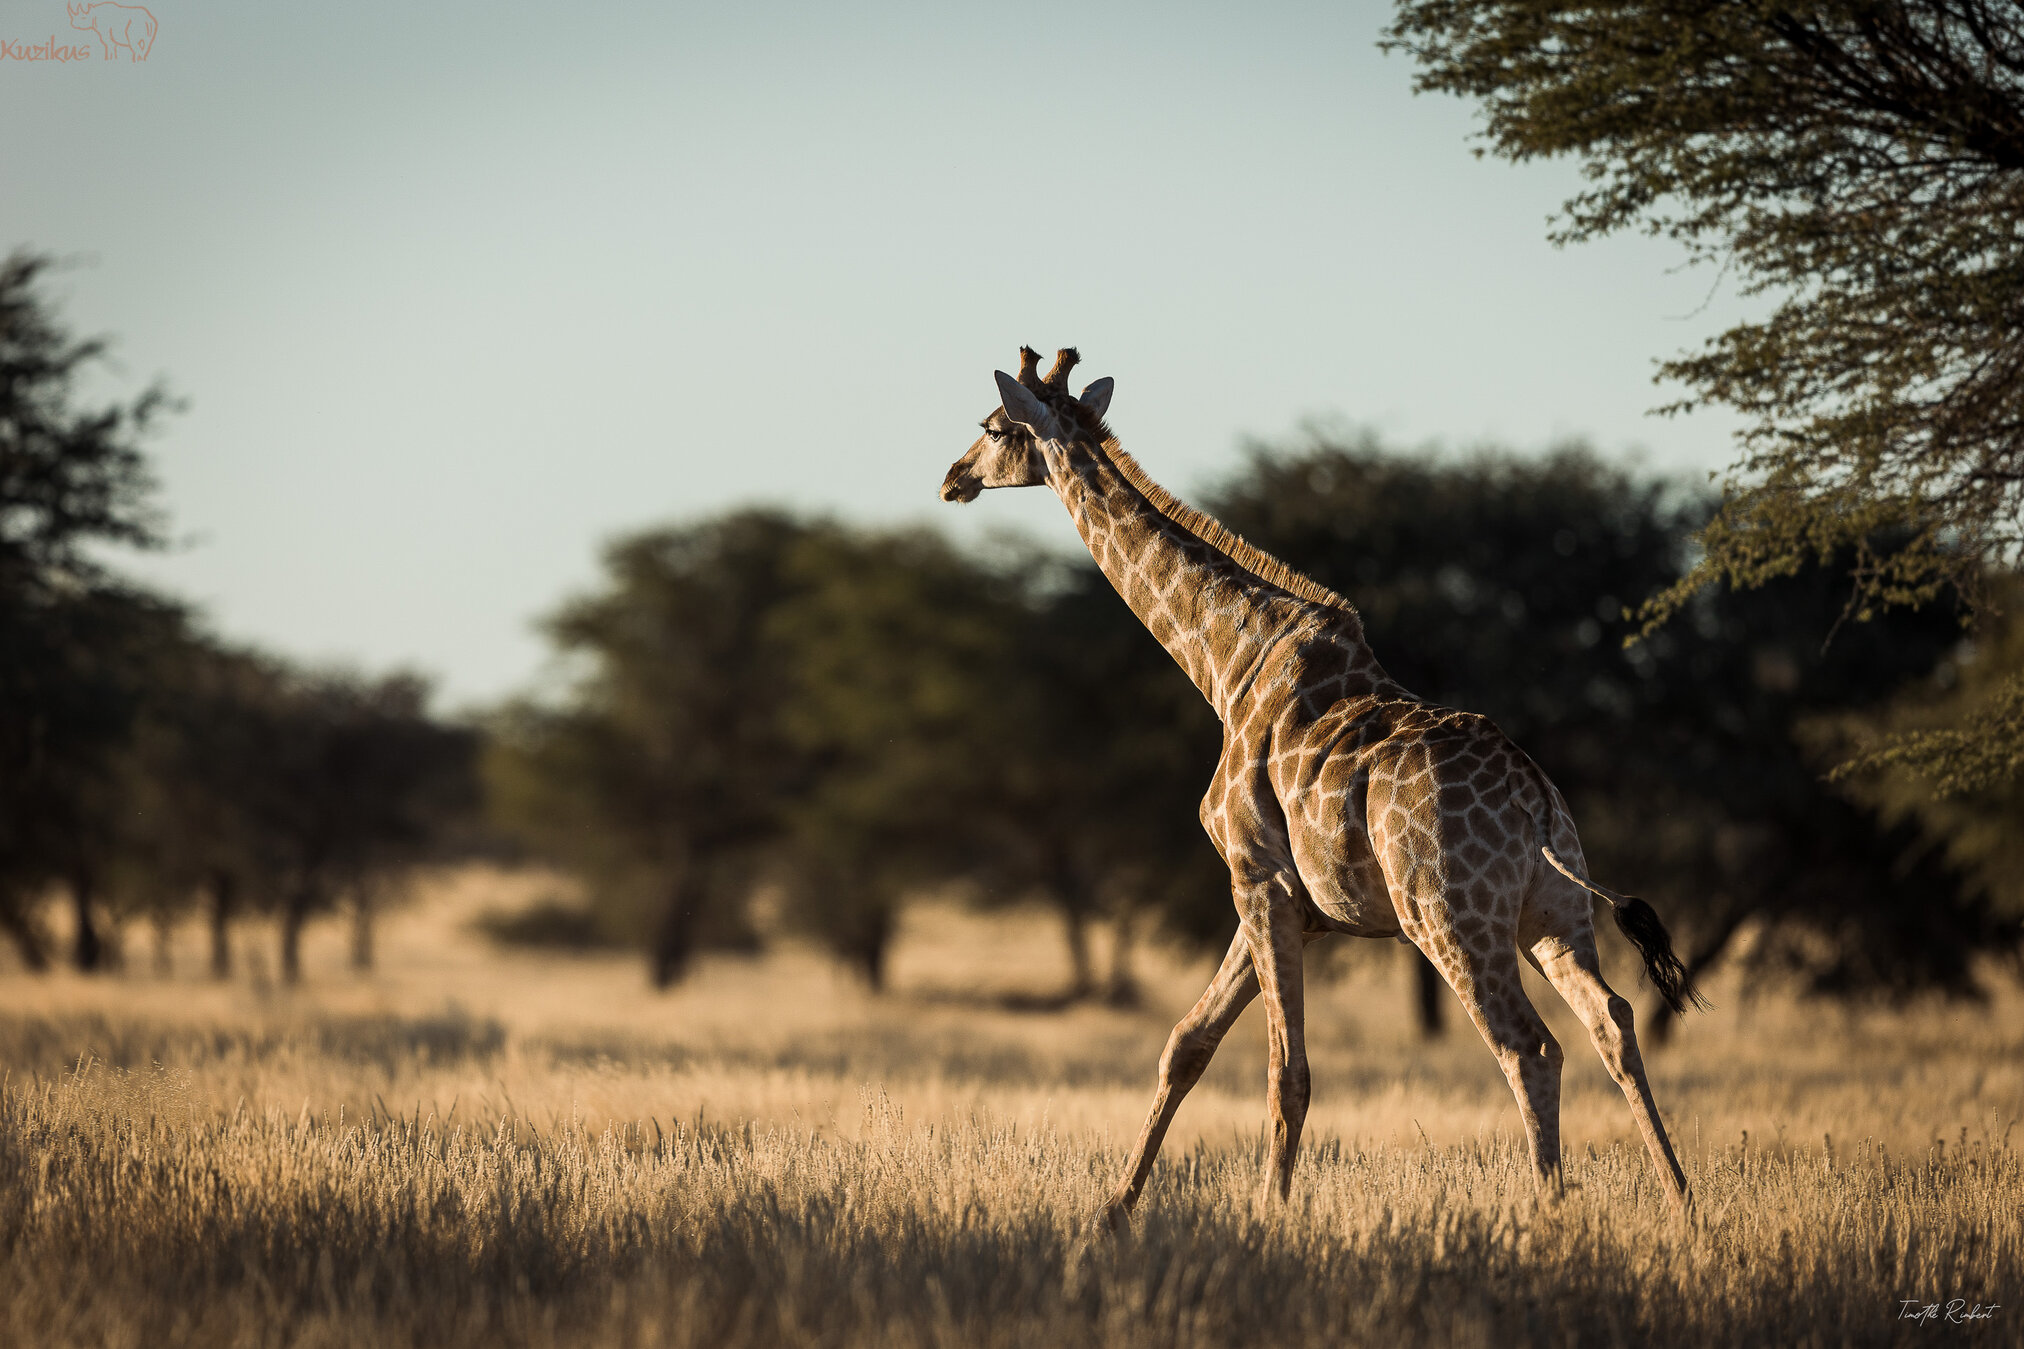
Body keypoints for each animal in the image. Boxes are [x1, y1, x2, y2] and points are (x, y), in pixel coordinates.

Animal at [940, 346, 1702, 1222]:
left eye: (994, 425)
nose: (952, 478)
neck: (1226, 663)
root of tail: (1537, 803)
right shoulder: (1288, 900)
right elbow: (1187, 1043)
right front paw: (1115, 1210)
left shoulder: (1257, 876)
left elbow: (1285, 1071)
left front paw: (1269, 1218)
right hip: (1554, 913)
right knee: (1613, 1020)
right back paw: (1684, 1204)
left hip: (1451, 918)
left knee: (1529, 1046)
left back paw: (1552, 1217)